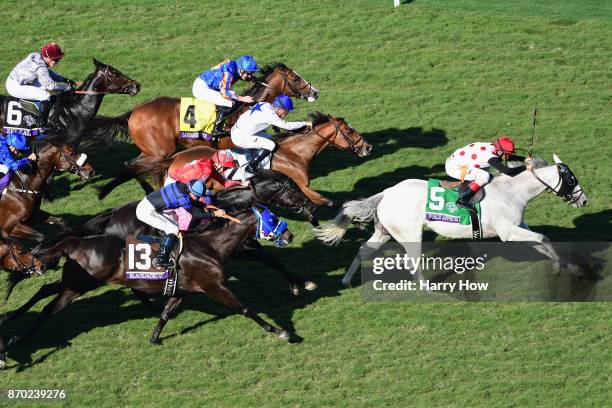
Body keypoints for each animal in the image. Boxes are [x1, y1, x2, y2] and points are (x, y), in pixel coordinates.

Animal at [106, 112, 372, 206]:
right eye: (349, 132)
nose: (367, 147)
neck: (295, 154)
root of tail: (174, 159)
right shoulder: (302, 187)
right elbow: (329, 202)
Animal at [316, 154, 588, 286]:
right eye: (572, 179)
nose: (584, 201)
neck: (513, 191)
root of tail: (386, 193)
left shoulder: (518, 227)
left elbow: (543, 242)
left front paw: (567, 266)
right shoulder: (508, 232)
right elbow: (543, 238)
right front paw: (559, 267)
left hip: (384, 231)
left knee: (364, 250)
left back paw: (346, 280)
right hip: (410, 234)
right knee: (412, 260)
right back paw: (427, 288)